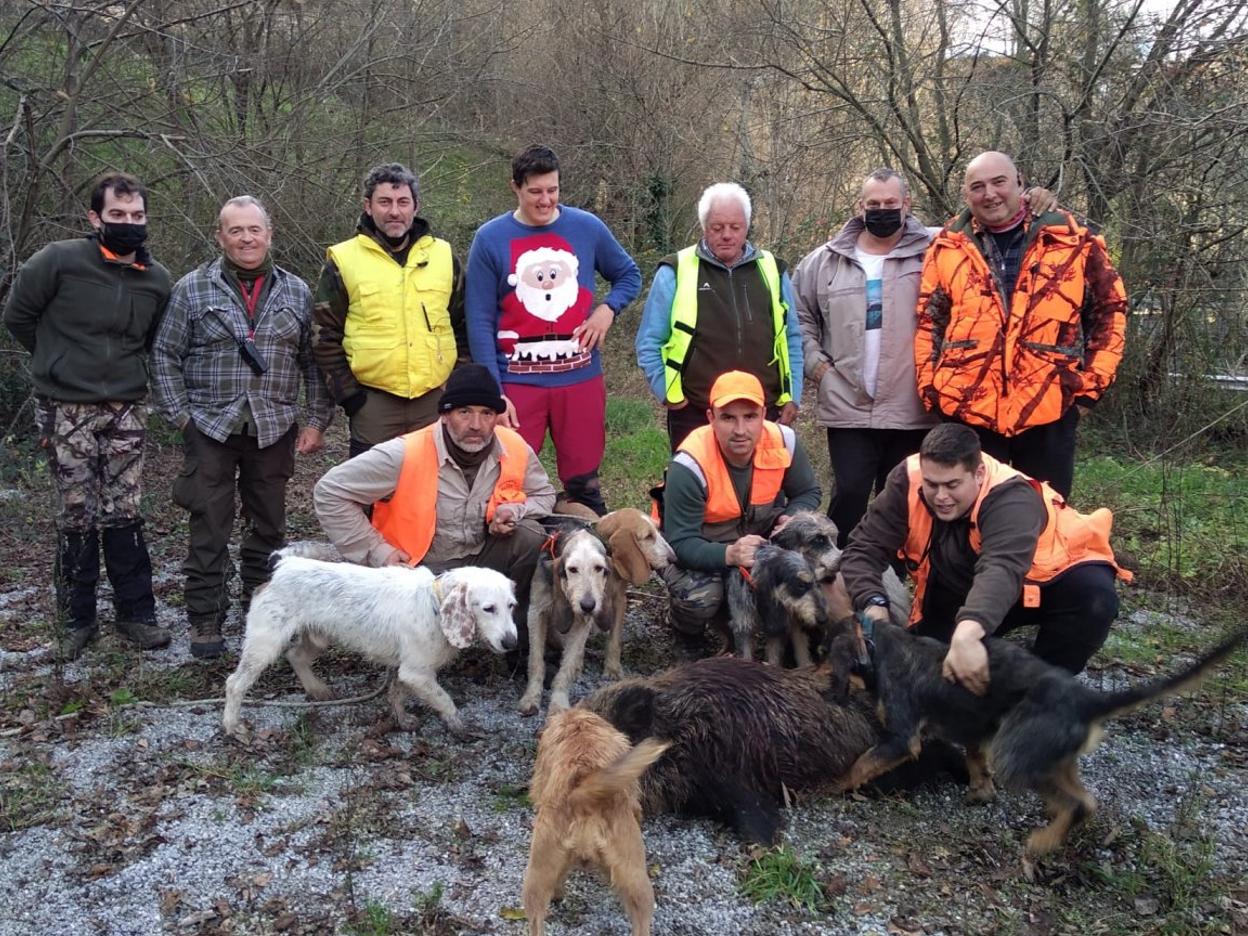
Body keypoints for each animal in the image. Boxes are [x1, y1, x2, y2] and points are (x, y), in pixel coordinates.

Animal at [823, 619, 1243, 863]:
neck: (876, 644)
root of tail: (1088, 701)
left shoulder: (900, 739)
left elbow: (860, 764)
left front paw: (834, 785)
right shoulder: (976, 729)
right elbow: (975, 760)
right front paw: (980, 790)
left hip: (1015, 756)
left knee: (1080, 805)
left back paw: (1041, 842)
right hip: (1049, 756)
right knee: (1084, 799)